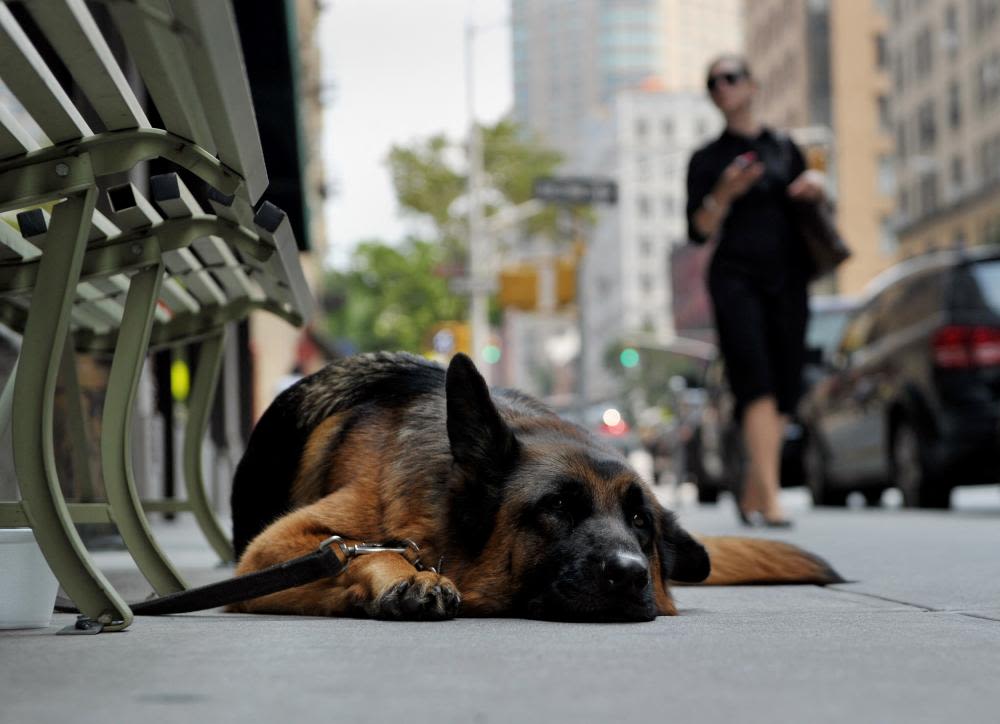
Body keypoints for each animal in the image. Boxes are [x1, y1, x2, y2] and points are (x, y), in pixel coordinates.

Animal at [230, 352, 840, 624]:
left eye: (640, 522)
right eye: (558, 506)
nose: (631, 574)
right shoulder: (269, 553)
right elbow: (364, 551)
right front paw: (408, 576)